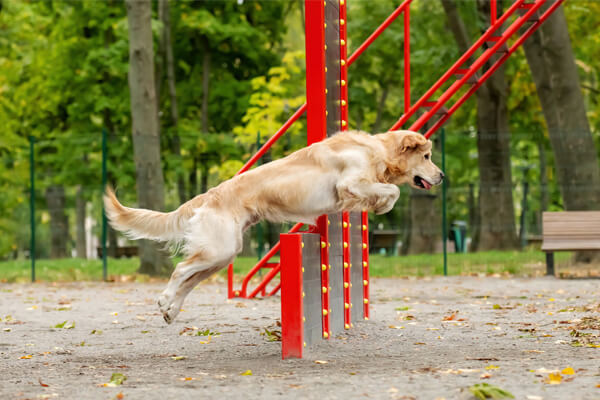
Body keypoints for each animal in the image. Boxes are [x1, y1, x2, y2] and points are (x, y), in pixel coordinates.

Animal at [103, 130, 442, 324]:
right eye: (426, 156)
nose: (442, 176)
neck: (375, 150)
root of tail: (208, 195)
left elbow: (388, 190)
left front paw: (379, 204)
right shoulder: (349, 182)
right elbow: (392, 190)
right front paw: (382, 204)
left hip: (222, 255)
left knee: (189, 280)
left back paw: (170, 311)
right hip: (218, 250)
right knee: (179, 270)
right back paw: (164, 301)